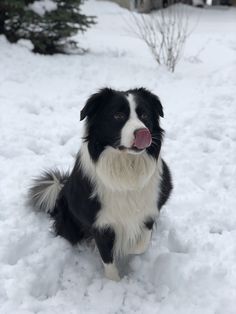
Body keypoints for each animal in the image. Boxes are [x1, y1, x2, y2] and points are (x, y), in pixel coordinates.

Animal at [28, 87, 172, 280]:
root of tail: (61, 190)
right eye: (118, 115)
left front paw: (129, 249)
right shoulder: (99, 222)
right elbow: (107, 257)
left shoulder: (150, 209)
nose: (143, 132)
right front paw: (114, 282)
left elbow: (140, 243)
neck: (126, 168)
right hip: (69, 223)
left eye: (144, 115)